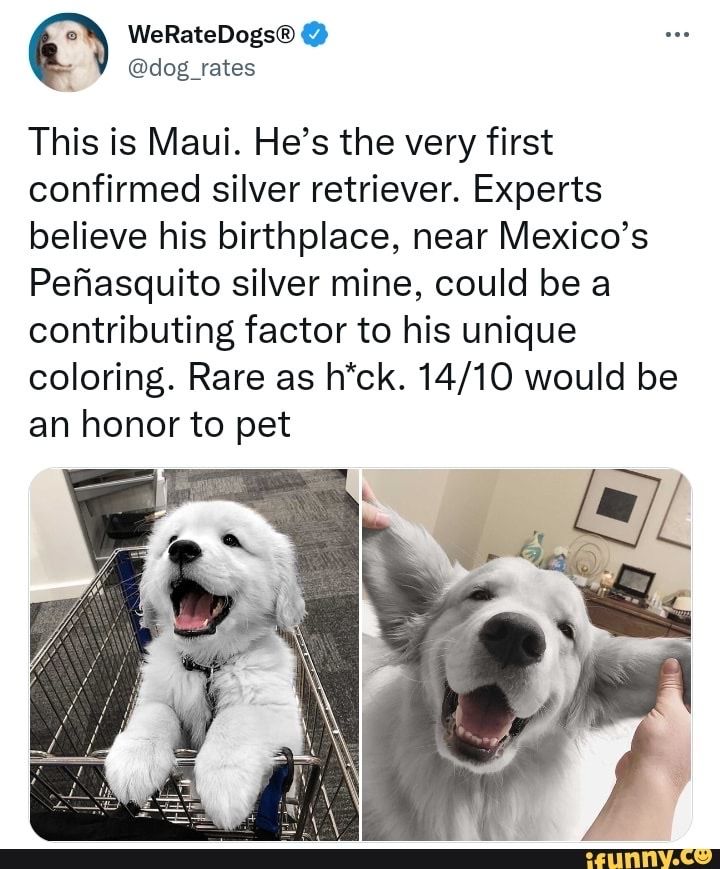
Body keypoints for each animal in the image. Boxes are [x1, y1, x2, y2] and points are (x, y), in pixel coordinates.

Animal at [105, 498, 304, 832]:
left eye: (231, 540)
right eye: (171, 539)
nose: (182, 549)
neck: (208, 665)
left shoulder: (281, 716)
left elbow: (237, 718)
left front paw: (224, 779)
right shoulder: (157, 695)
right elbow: (156, 713)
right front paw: (134, 759)